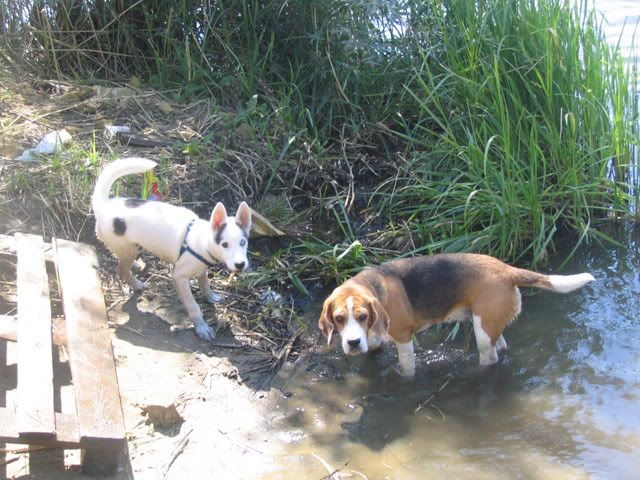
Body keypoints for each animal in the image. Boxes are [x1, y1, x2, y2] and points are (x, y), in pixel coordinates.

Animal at [92, 158, 252, 340]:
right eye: (225, 244)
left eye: (243, 242)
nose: (240, 265)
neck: (202, 239)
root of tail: (104, 206)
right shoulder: (179, 276)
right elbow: (193, 305)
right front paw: (201, 326)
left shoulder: (200, 268)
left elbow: (204, 283)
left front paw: (210, 296)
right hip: (126, 249)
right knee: (121, 269)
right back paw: (137, 284)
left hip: (128, 247)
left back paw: (136, 266)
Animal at [318, 253, 594, 377]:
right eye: (339, 319)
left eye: (363, 316)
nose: (353, 342)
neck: (373, 286)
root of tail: (506, 270)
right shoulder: (374, 344)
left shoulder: (404, 339)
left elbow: (407, 368)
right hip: (488, 323)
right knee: (502, 346)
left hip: (482, 332)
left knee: (490, 358)